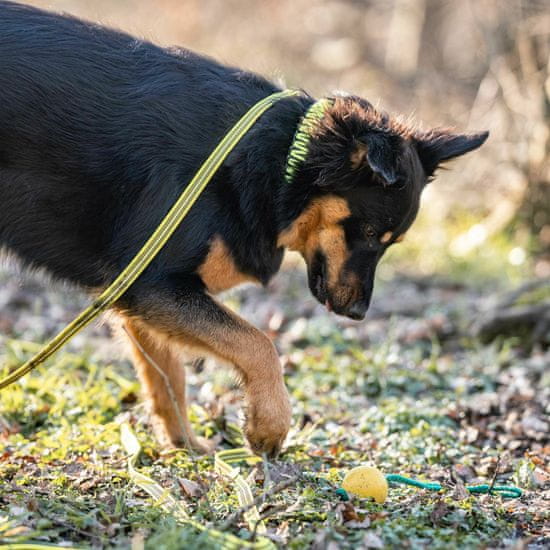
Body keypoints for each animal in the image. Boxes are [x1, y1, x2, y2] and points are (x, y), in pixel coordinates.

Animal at [1, 1, 492, 458]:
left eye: (391, 242)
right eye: (370, 233)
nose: (357, 315)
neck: (279, 160)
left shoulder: (138, 294)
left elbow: (168, 378)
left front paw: (186, 448)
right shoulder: (154, 284)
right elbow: (258, 344)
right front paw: (268, 426)